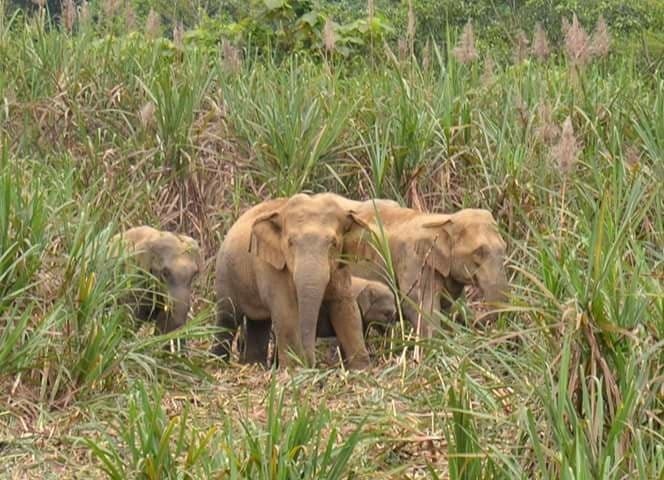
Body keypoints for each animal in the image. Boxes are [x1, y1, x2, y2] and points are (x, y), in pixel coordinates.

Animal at [213, 193, 370, 370]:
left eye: (334, 243)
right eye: (290, 242)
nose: (311, 364)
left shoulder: (341, 266)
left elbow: (345, 307)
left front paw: (361, 369)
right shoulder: (271, 267)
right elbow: (286, 311)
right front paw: (294, 369)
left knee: (258, 323)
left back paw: (254, 365)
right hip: (225, 274)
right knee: (227, 318)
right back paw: (216, 363)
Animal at [342, 204, 508, 336]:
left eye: (504, 247)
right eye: (478, 252)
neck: (444, 220)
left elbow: (450, 306)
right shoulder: (414, 261)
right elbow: (418, 306)